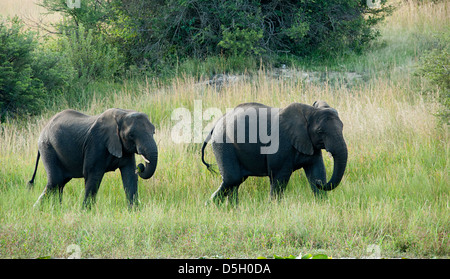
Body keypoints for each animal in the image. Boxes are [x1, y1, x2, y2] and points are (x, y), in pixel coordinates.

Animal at [28, 108, 158, 209]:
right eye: (131, 135)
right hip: (48, 147)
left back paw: (53, 209)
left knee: (60, 183)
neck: (123, 113)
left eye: (153, 132)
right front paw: (85, 211)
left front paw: (134, 210)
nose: (141, 166)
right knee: (55, 181)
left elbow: (129, 175)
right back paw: (37, 209)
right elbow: (93, 175)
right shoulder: (96, 144)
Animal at [202, 100, 350, 206]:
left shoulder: (309, 143)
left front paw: (322, 204)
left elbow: (316, 171)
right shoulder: (281, 143)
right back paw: (211, 206)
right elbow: (280, 177)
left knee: (236, 180)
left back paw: (229, 208)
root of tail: (215, 124)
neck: (309, 111)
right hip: (223, 144)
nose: (320, 183)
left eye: (343, 127)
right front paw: (274, 207)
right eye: (320, 131)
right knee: (232, 178)